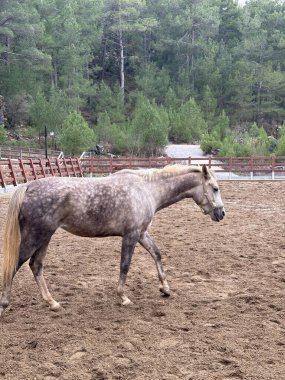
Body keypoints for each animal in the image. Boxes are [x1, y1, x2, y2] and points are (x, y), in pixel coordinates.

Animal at [0, 163, 224, 314]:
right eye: (215, 188)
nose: (221, 213)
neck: (147, 189)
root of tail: (28, 187)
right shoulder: (131, 235)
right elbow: (125, 265)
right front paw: (123, 297)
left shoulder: (141, 233)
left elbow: (157, 254)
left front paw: (165, 288)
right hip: (36, 236)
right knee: (14, 266)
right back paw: (4, 305)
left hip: (45, 236)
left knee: (36, 266)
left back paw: (52, 302)